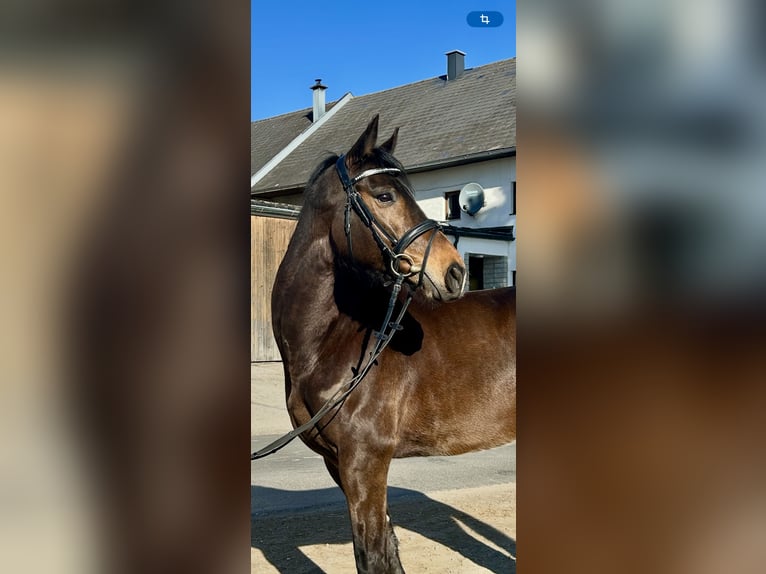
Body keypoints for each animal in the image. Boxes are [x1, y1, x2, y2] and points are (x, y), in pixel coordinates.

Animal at [270, 115, 516, 572]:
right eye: (384, 195)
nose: (454, 272)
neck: (335, 340)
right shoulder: (341, 465)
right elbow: (386, 549)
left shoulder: (365, 463)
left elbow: (371, 554)